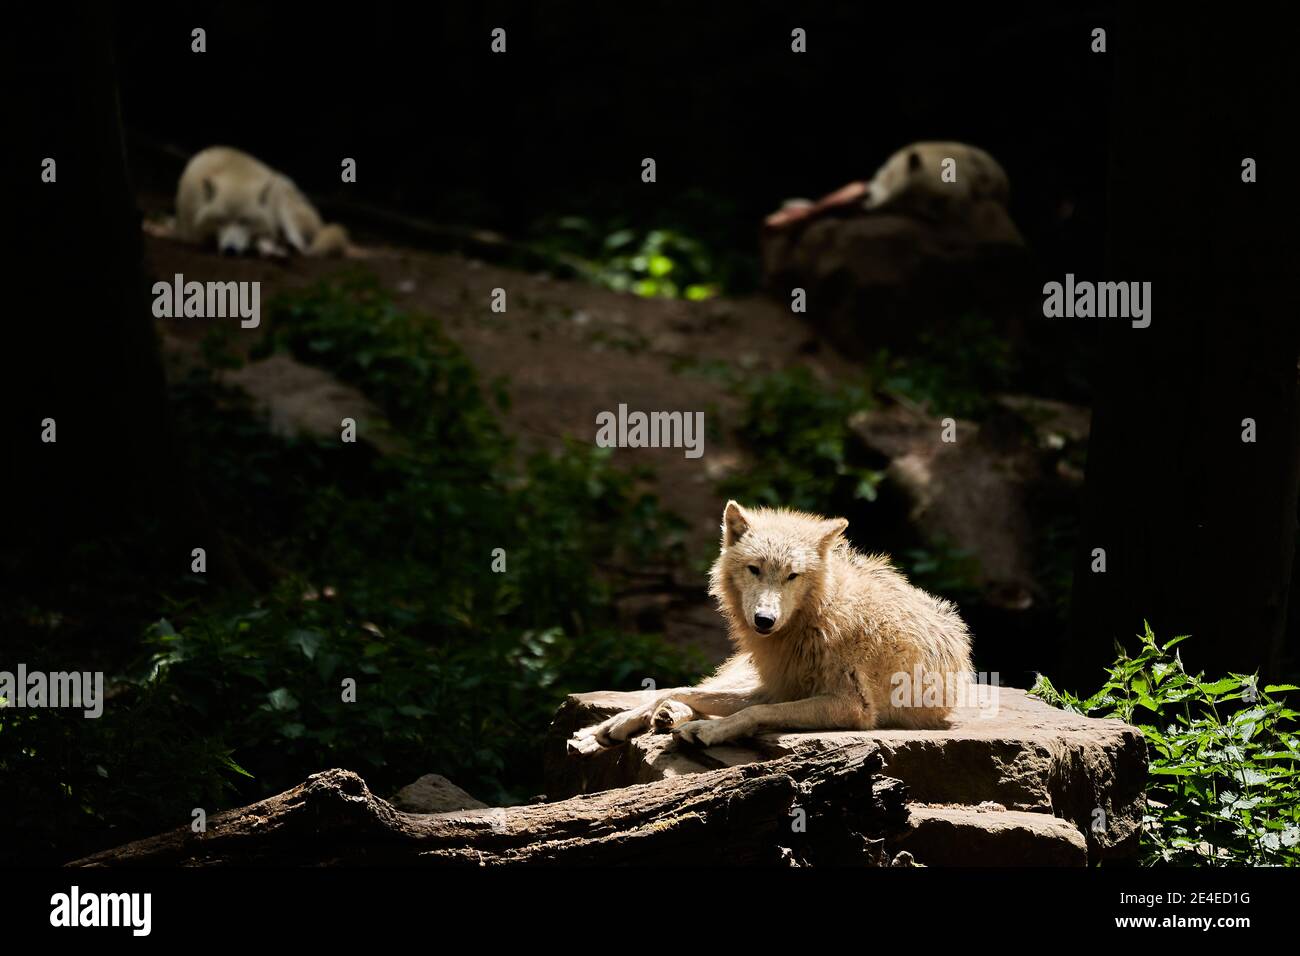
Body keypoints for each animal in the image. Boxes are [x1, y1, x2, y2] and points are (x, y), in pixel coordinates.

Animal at [179, 146, 351, 257]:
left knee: (299, 242)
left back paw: (289, 246)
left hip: (281, 198)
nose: (230, 250)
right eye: (220, 220)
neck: (234, 174)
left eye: (244, 221)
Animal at [572, 496, 977, 749]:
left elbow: (756, 712)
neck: (817, 616)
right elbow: (683, 691)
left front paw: (710, 729)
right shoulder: (780, 687)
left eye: (792, 576)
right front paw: (619, 723)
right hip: (746, 676)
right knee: (685, 689)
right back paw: (636, 721)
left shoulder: (851, 706)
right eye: (755, 569)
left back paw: (670, 718)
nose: (764, 620)